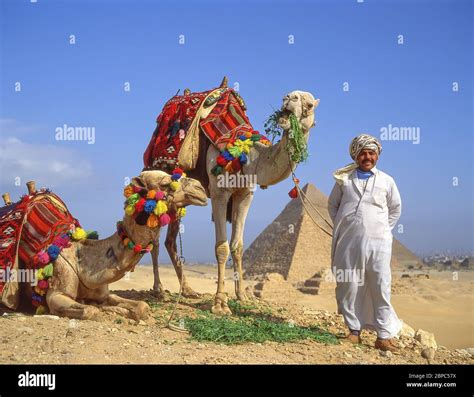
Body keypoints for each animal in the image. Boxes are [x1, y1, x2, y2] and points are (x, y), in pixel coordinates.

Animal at [13, 169, 207, 318]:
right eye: (166, 184)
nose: (200, 188)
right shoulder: (57, 293)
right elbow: (91, 311)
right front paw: (106, 309)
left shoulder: (103, 291)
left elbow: (142, 306)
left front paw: (118, 309)